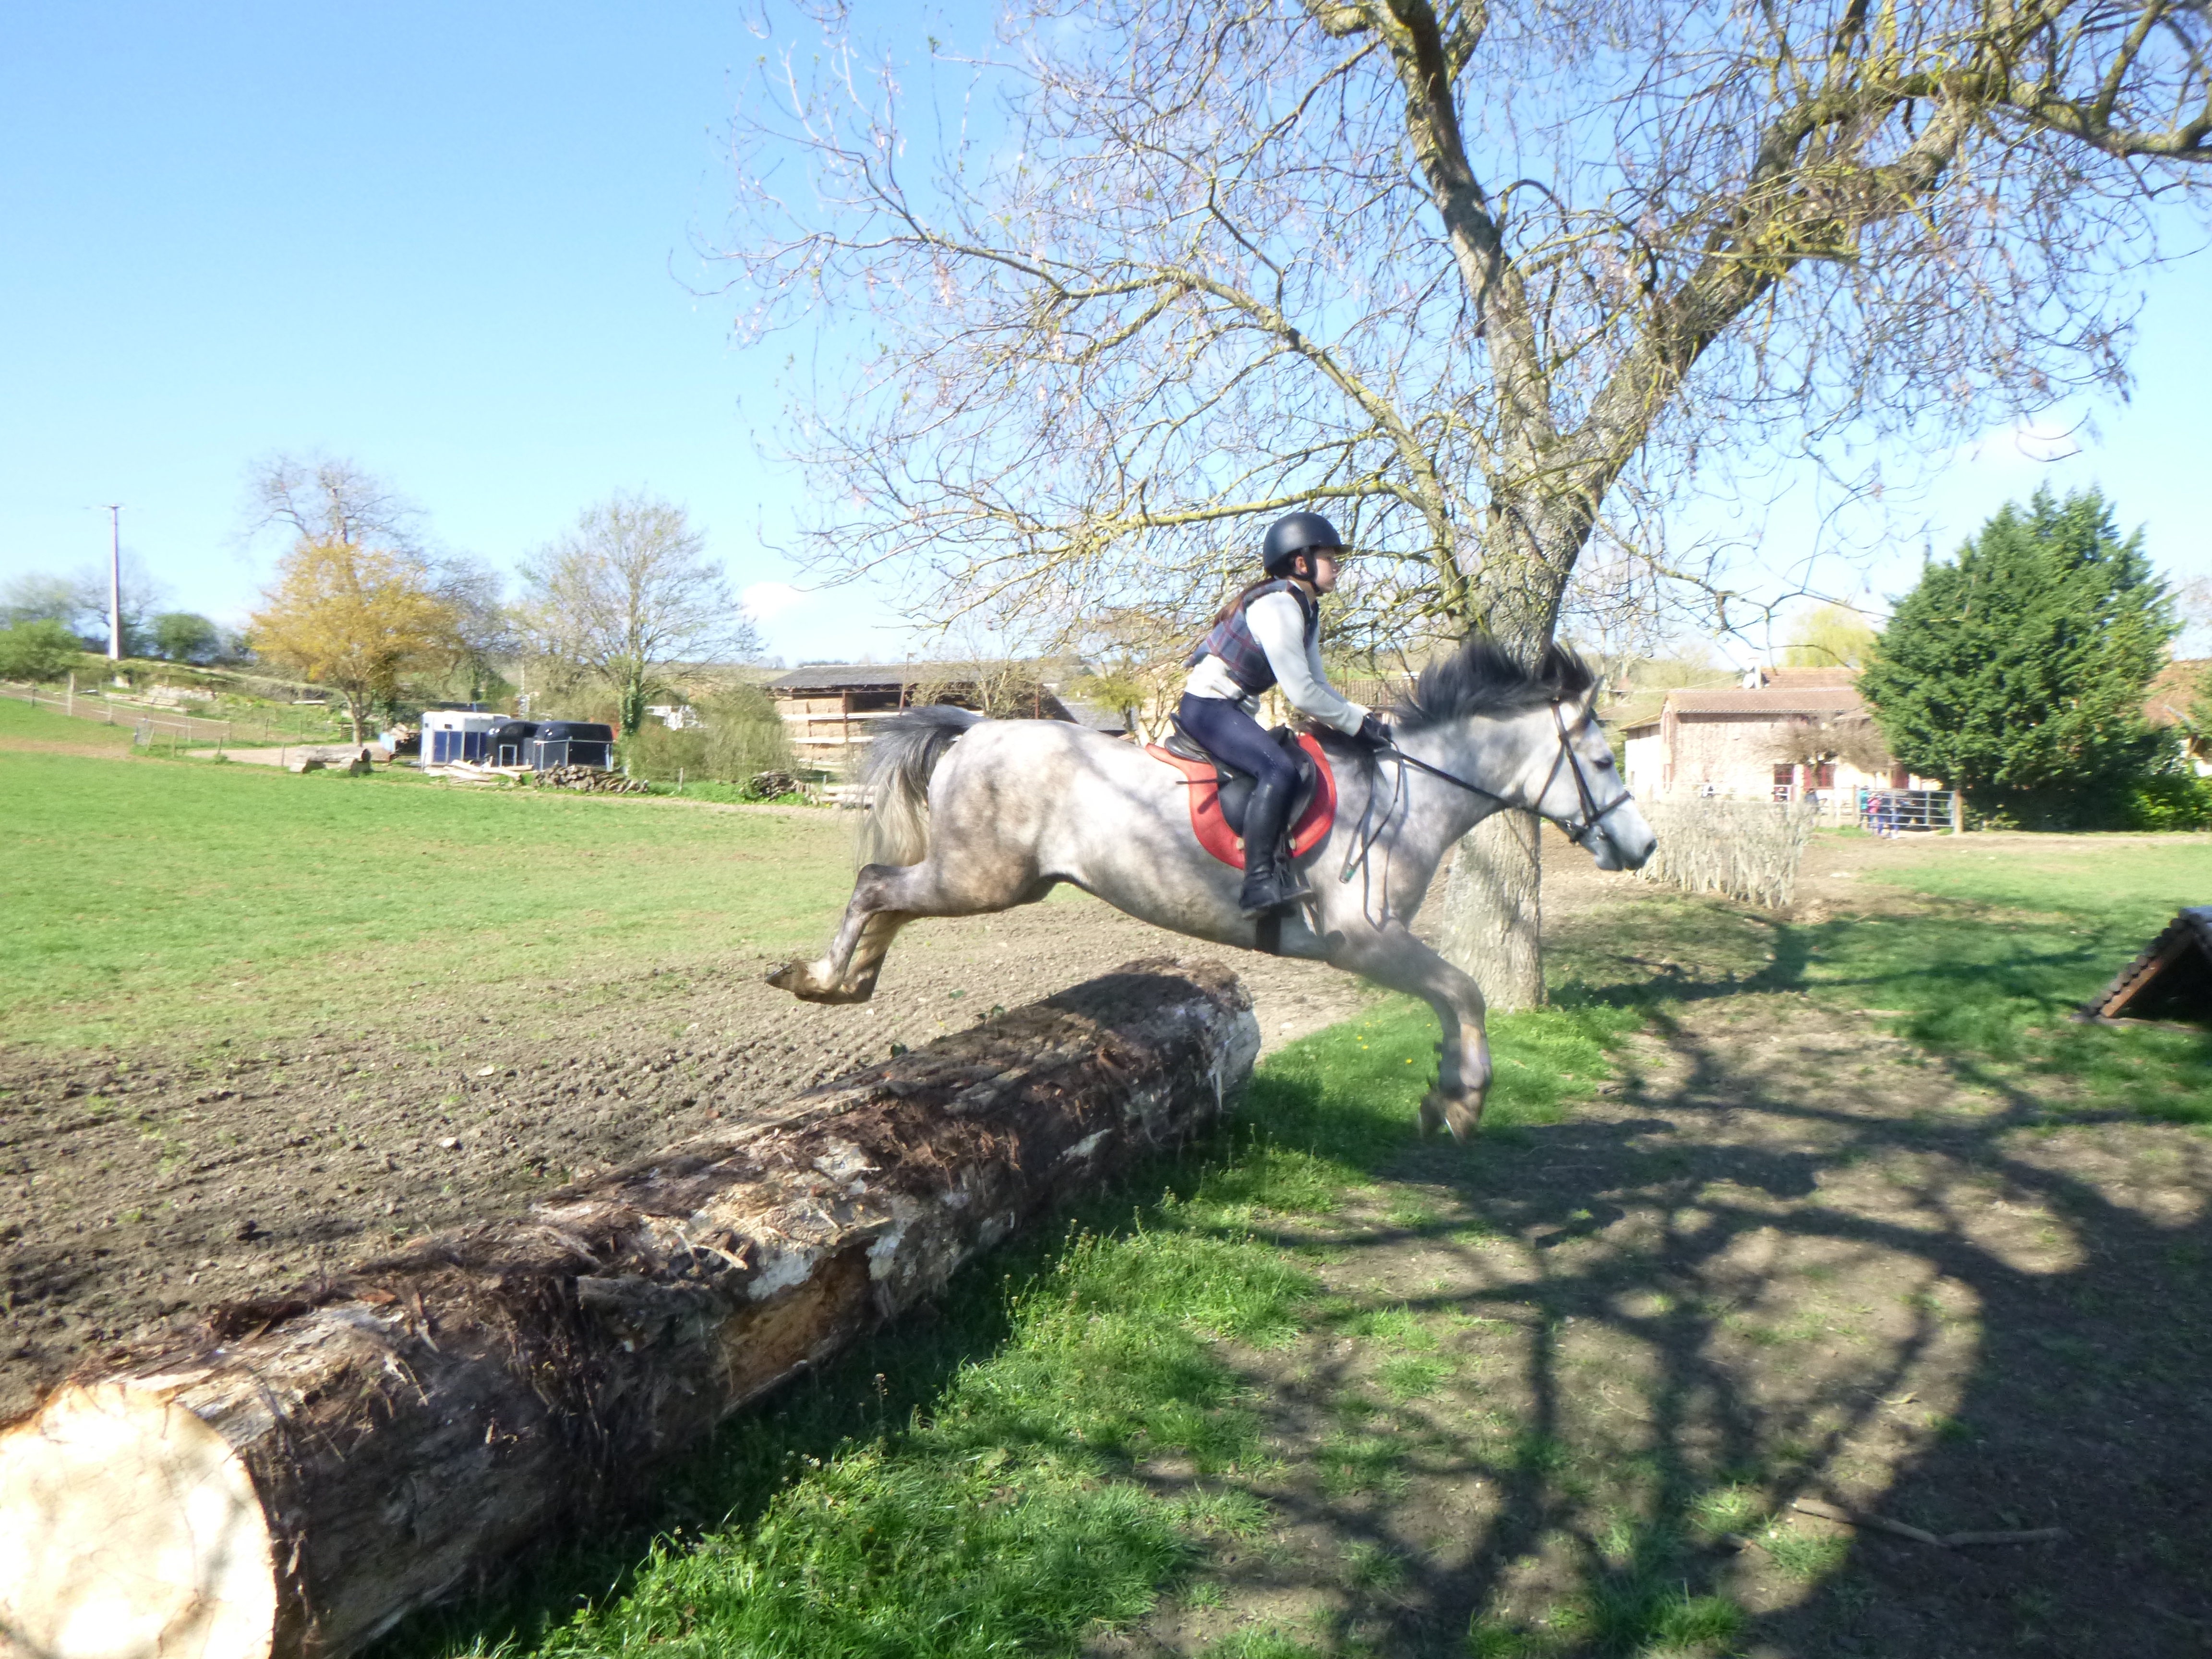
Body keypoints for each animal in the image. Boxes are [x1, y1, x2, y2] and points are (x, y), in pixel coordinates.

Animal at [769, 637, 1654, 1141]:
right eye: (1601, 761)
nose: (1642, 847)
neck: (1411, 793)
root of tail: (977, 727)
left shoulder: (1385, 945)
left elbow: (1454, 999)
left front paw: (1446, 1093)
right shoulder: (1362, 941)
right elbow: (1464, 991)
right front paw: (1462, 1100)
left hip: (991, 879)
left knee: (889, 897)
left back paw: (848, 982)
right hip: (982, 878)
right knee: (875, 882)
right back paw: (820, 980)